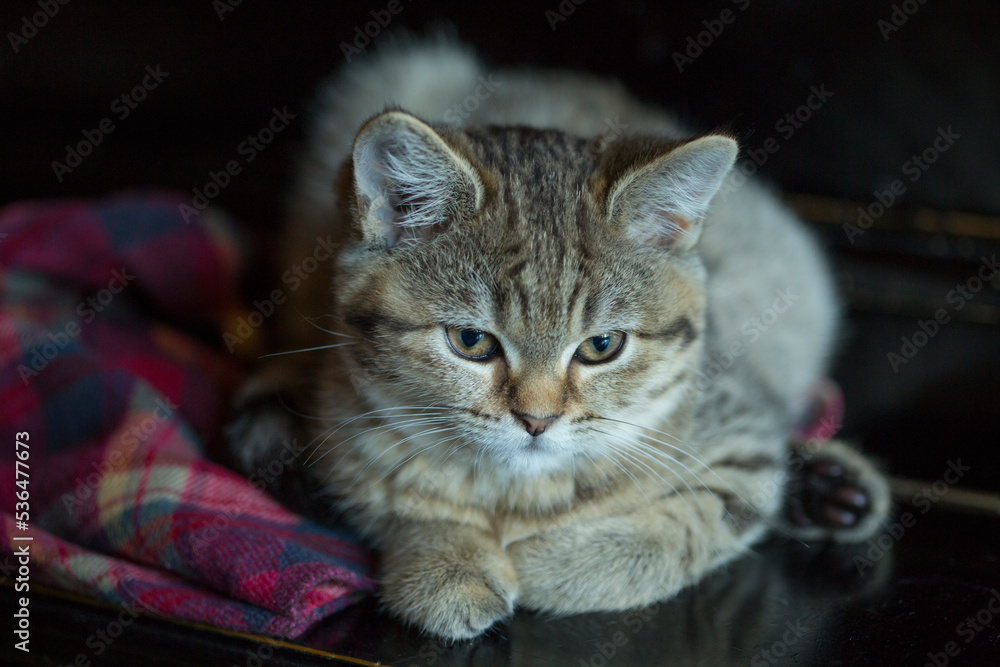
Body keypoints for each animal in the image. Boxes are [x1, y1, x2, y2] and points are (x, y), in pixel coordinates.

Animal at [229, 37, 892, 640]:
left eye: (602, 347)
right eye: (470, 341)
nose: (537, 420)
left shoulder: (746, 438)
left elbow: (685, 527)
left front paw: (545, 564)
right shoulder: (349, 436)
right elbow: (400, 502)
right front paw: (446, 562)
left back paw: (831, 487)